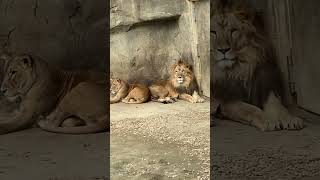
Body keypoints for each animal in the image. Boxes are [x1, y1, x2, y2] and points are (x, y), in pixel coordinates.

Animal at [211, 0, 304, 131]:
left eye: (233, 31)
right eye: (213, 32)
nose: (223, 50)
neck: (239, 69)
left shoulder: (264, 81)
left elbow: (275, 103)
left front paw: (289, 119)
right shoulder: (226, 100)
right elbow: (248, 109)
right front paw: (268, 120)